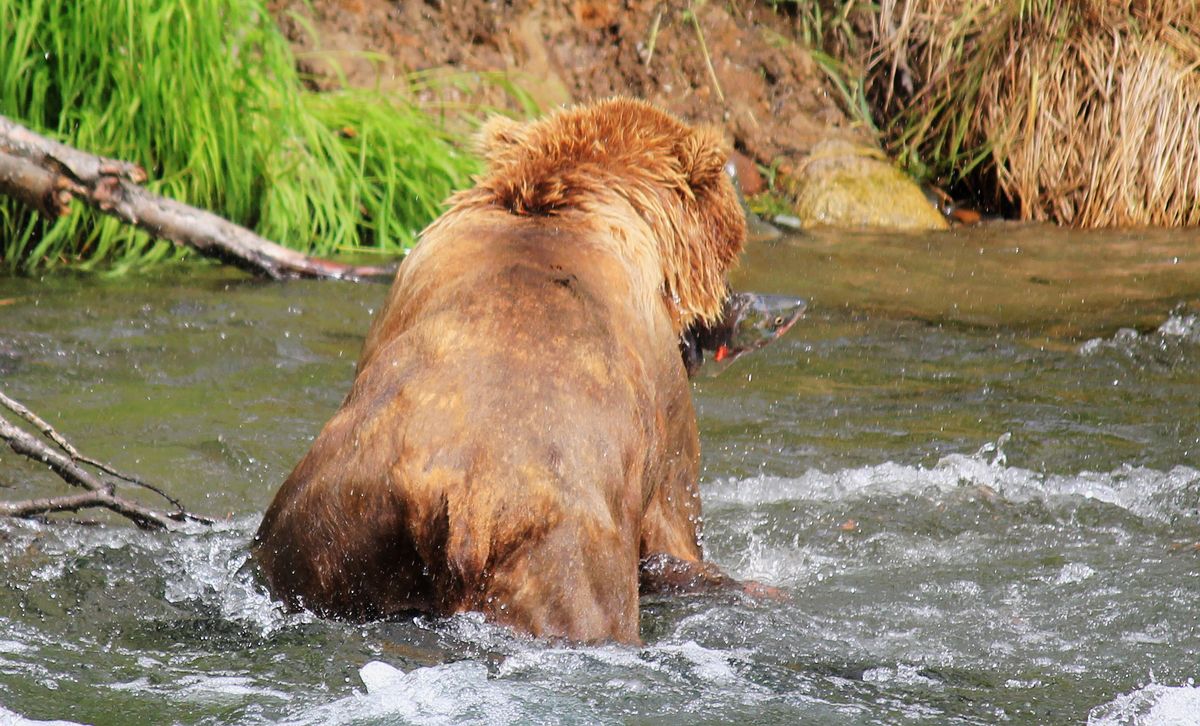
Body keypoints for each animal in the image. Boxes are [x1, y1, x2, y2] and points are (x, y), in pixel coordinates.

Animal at [254, 94, 748, 638]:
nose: (728, 312)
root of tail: (465, 507)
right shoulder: (664, 396)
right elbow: (675, 522)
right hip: (560, 561)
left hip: (338, 519)